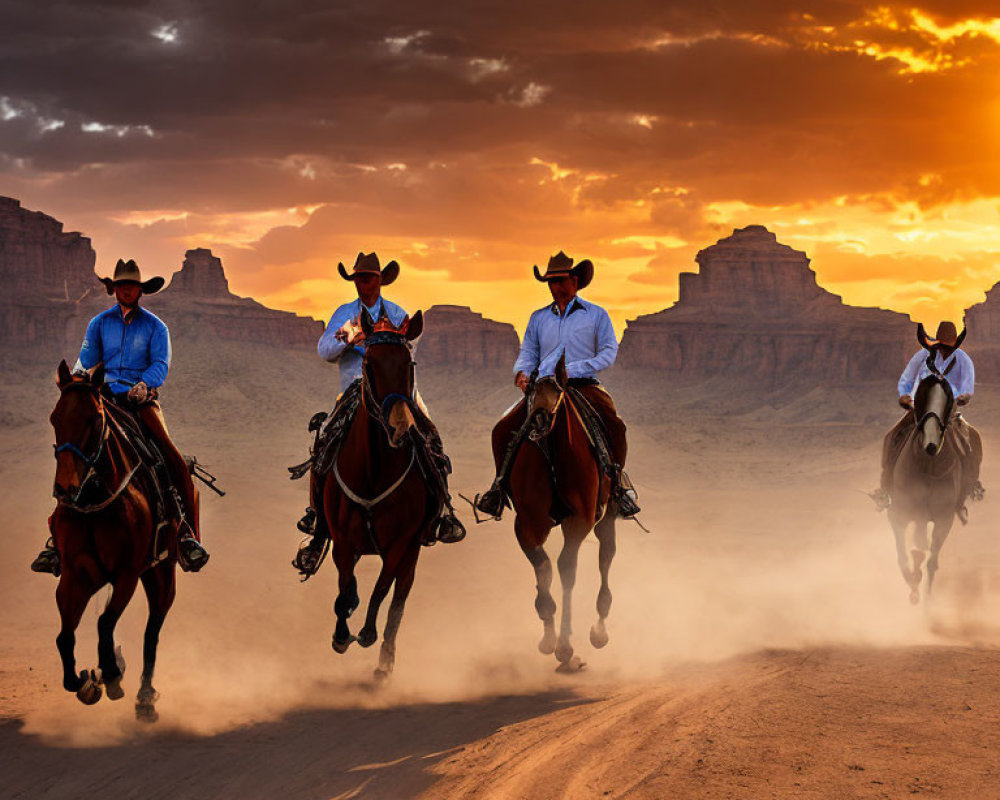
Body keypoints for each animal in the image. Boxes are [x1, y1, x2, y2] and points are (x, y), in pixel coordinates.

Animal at [47, 360, 181, 720]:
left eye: (94, 419)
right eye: (54, 417)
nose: (66, 487)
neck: (96, 499)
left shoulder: (126, 574)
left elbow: (105, 622)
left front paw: (110, 674)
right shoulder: (75, 575)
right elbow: (64, 637)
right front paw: (84, 678)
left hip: (162, 573)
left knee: (152, 631)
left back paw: (145, 697)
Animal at [316, 310, 434, 680]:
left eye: (409, 364)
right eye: (368, 363)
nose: (399, 426)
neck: (373, 472)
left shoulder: (401, 543)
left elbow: (383, 588)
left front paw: (367, 633)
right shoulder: (342, 539)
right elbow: (344, 585)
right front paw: (341, 635)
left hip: (412, 554)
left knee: (398, 600)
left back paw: (385, 662)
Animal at [500, 356, 616, 668]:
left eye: (559, 395)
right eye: (530, 393)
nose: (538, 422)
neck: (553, 453)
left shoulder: (579, 521)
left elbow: (566, 570)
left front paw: (564, 645)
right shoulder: (527, 524)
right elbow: (543, 568)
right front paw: (548, 635)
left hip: (607, 517)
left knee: (606, 556)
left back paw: (599, 631)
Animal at [892, 360, 968, 600]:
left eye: (949, 401)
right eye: (921, 396)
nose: (932, 444)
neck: (927, 466)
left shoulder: (943, 519)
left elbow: (930, 561)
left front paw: (923, 595)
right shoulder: (898, 515)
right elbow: (904, 556)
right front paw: (913, 585)